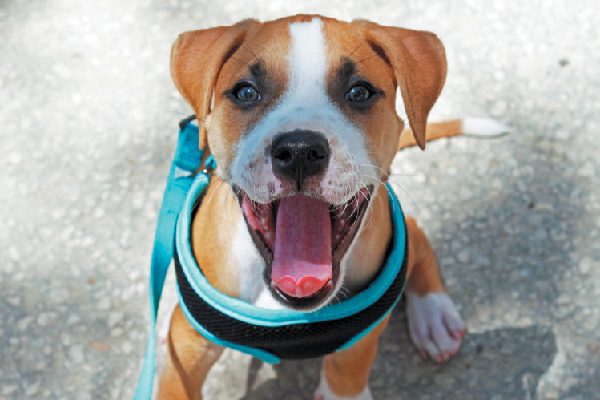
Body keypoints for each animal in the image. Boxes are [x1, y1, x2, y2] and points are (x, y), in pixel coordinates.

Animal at [156, 14, 502, 400]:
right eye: (246, 92)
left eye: (359, 92)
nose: (299, 150)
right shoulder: (186, 345)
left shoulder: (360, 337)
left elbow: (346, 374)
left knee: (416, 232)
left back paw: (433, 313)